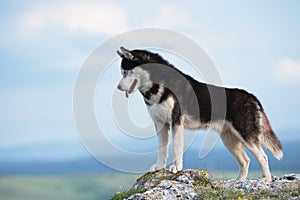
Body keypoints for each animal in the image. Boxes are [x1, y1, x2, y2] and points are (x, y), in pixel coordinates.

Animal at [116, 47, 282, 181]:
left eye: (126, 72)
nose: (118, 87)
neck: (158, 86)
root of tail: (252, 96)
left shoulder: (176, 121)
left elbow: (176, 147)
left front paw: (176, 168)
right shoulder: (160, 124)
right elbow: (162, 149)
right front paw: (159, 166)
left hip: (246, 135)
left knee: (263, 157)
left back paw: (266, 179)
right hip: (229, 140)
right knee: (246, 160)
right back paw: (239, 181)